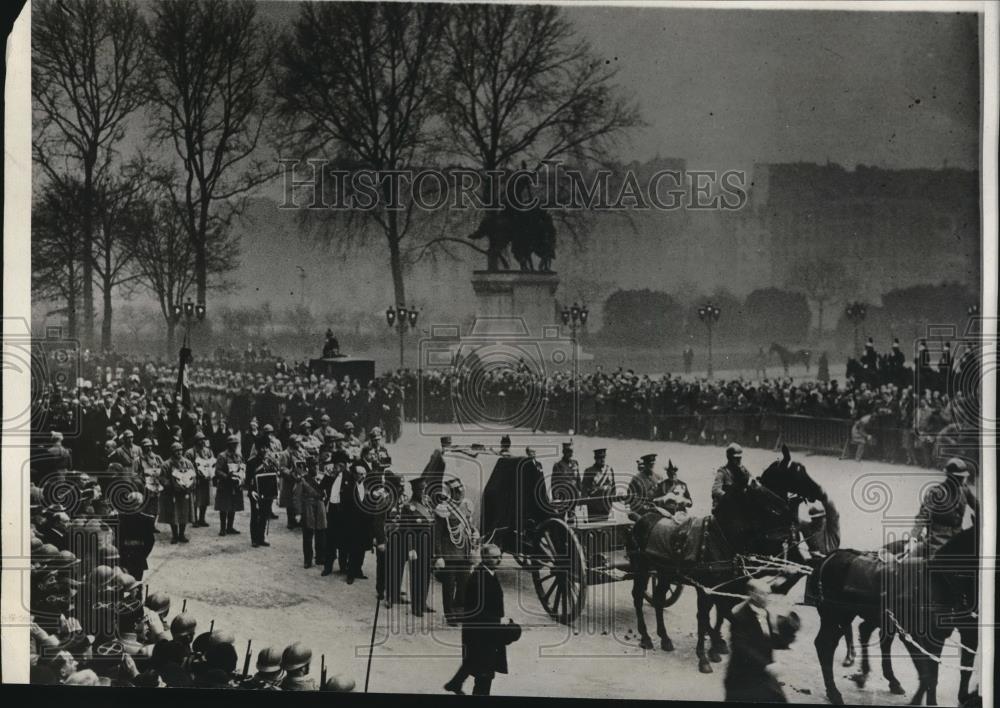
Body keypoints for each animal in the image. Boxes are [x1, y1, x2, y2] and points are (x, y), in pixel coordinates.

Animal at [628, 446, 832, 672]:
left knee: (658, 598)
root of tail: (644, 518)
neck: (722, 537)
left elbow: (724, 609)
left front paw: (717, 644)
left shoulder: (734, 580)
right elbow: (708, 615)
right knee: (638, 596)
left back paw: (664, 638)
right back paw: (646, 637)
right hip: (643, 570)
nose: (820, 492)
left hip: (664, 574)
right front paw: (705, 655)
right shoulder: (708, 588)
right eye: (797, 472)